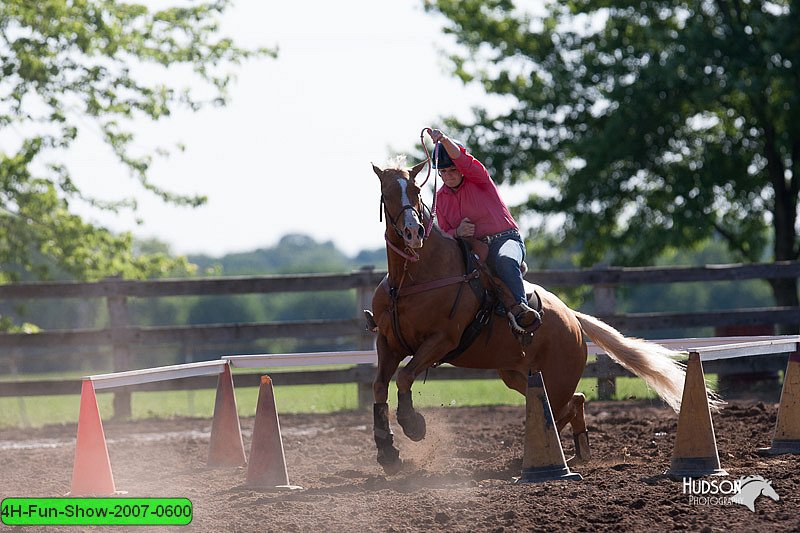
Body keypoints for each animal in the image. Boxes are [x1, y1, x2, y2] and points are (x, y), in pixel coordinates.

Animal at [368, 160, 688, 472]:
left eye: (415, 190)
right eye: (387, 192)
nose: (413, 232)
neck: (412, 279)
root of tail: (572, 319)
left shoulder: (441, 341)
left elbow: (405, 377)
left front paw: (413, 425)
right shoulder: (388, 343)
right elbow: (380, 386)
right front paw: (387, 450)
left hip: (556, 380)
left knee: (562, 408)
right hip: (519, 375)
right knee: (574, 401)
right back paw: (576, 451)